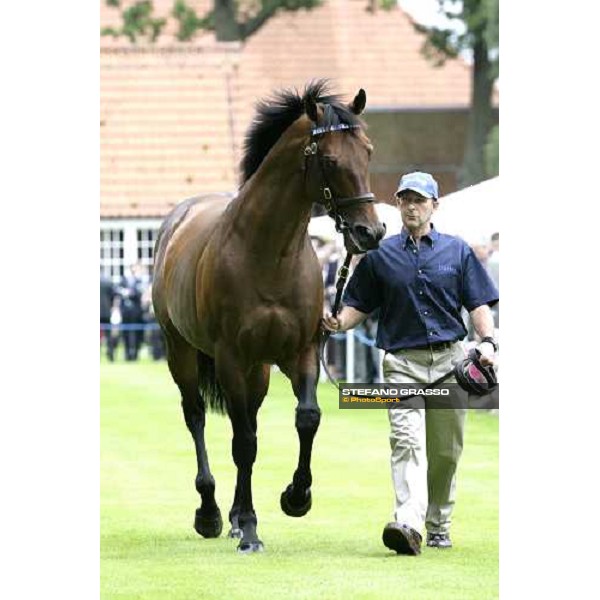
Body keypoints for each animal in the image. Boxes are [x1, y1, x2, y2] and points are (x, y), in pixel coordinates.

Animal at [150, 79, 384, 552]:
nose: (370, 232)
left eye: (367, 151)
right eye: (330, 159)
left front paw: (296, 497)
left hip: (258, 369)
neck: (268, 253)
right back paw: (212, 513)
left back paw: (236, 517)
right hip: (181, 351)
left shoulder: (301, 351)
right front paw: (250, 528)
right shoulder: (229, 358)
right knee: (197, 415)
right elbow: (243, 443)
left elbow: (306, 418)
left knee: (250, 420)